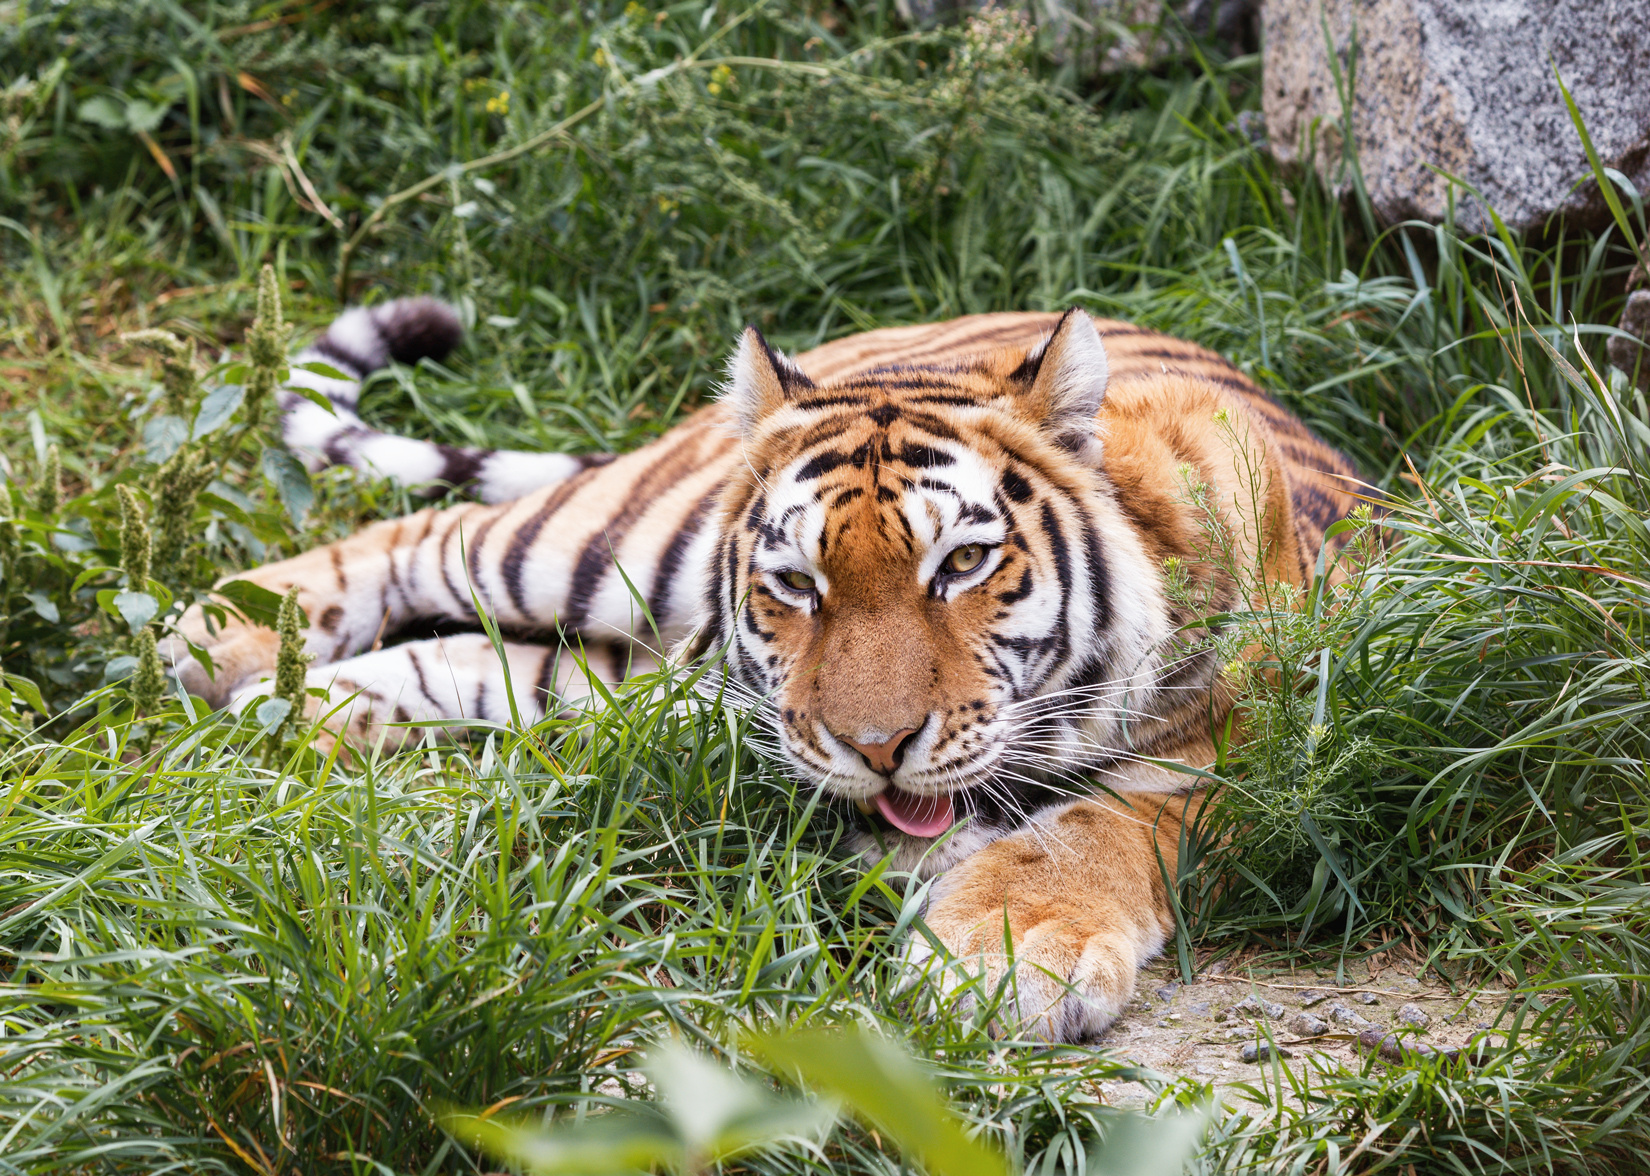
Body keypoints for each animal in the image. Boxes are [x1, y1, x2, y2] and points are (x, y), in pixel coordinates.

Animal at [167, 298, 1359, 1042]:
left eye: (961, 564)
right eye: (797, 582)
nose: (874, 748)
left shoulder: (1237, 760)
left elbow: (1082, 834)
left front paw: (1006, 960)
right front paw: (1001, 969)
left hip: (629, 672)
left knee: (503, 665)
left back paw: (301, 715)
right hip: (616, 541)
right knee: (433, 531)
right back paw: (213, 641)